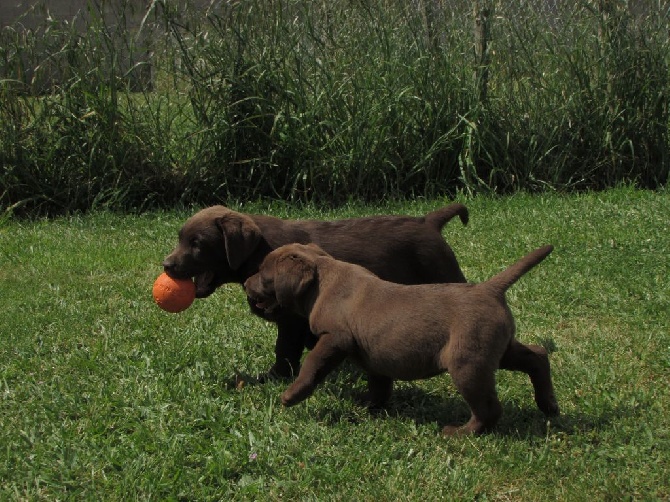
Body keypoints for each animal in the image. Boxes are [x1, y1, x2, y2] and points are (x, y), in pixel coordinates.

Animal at [163, 203, 470, 376]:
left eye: (197, 244)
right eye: (180, 239)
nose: (166, 265)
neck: (260, 249)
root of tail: (428, 221)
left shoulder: (290, 320)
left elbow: (284, 349)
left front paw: (272, 378)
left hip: (444, 271)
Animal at [247, 243, 560, 436]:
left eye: (263, 274)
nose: (246, 284)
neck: (323, 279)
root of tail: (489, 289)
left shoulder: (335, 339)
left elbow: (312, 365)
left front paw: (291, 395)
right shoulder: (374, 357)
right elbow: (379, 386)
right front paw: (370, 406)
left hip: (468, 363)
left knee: (489, 409)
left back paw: (460, 433)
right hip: (498, 348)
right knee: (537, 355)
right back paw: (549, 405)